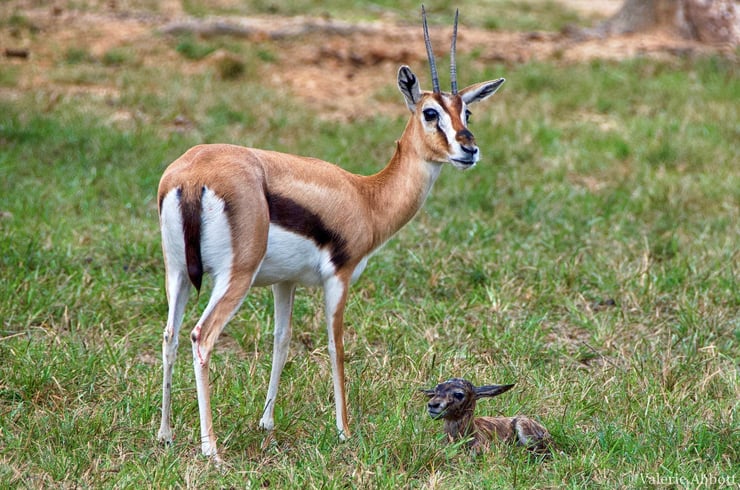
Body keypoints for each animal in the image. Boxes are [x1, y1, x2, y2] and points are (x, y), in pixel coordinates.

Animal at [156, 7, 505, 461]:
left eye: (468, 113)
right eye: (431, 112)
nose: (469, 149)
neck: (366, 196)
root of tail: (192, 175)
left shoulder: (284, 282)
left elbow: (282, 341)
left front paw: (267, 424)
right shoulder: (339, 277)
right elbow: (337, 345)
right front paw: (344, 431)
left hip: (177, 273)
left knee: (170, 336)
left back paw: (164, 434)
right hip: (235, 278)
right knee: (202, 337)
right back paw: (211, 450)